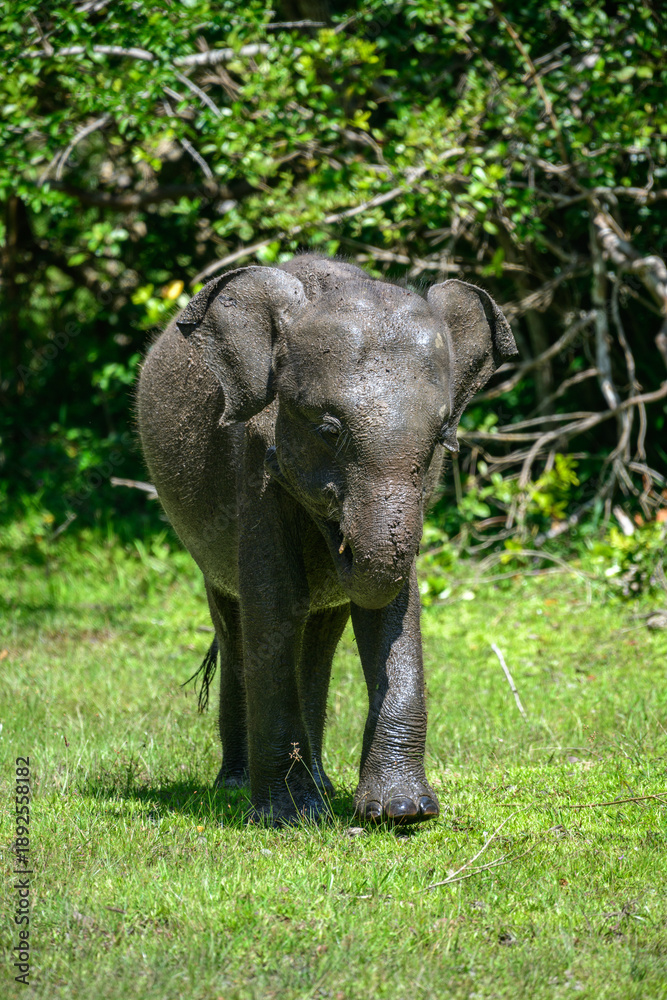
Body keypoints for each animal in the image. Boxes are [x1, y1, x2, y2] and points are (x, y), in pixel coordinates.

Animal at [136, 254, 517, 824]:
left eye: (438, 439)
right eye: (328, 430)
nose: (340, 543)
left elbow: (393, 609)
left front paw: (401, 812)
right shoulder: (254, 468)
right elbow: (274, 606)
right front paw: (287, 816)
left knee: (318, 642)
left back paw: (318, 781)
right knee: (236, 625)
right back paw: (237, 786)